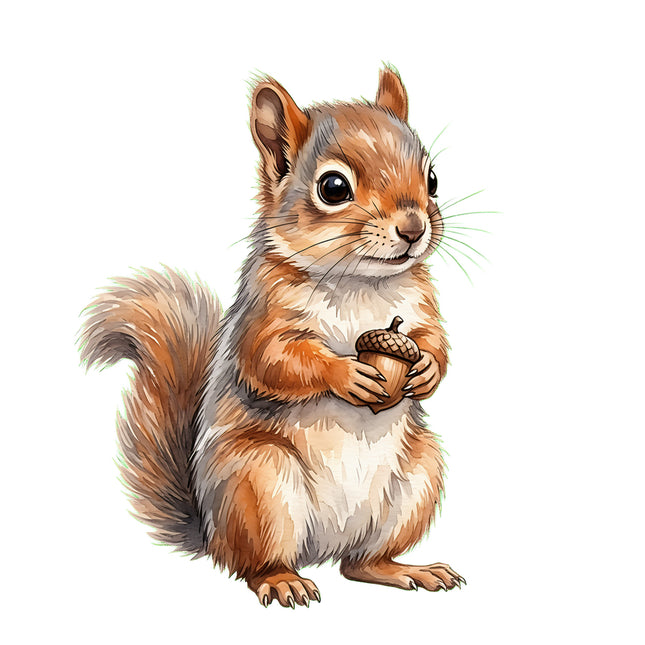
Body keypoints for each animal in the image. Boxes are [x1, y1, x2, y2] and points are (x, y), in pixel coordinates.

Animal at [79, 66, 465, 608]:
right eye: (332, 187)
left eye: (432, 178)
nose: (414, 228)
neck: (360, 282)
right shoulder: (262, 314)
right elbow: (273, 359)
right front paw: (345, 373)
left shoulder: (421, 308)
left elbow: (436, 343)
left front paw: (426, 370)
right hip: (258, 483)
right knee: (254, 564)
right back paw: (283, 580)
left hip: (420, 476)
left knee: (360, 564)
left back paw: (406, 569)